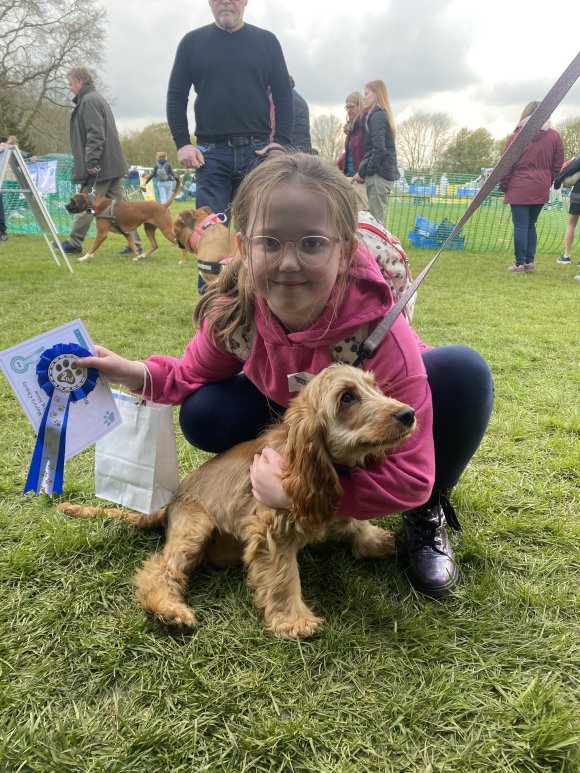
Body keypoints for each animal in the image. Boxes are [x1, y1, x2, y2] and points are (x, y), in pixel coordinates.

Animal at [57, 364, 416, 636]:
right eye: (346, 397)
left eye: (375, 387)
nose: (409, 413)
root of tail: (169, 504)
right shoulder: (271, 529)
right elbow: (283, 576)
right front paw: (294, 620)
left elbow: (348, 517)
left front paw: (372, 539)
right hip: (194, 528)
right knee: (159, 569)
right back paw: (169, 611)